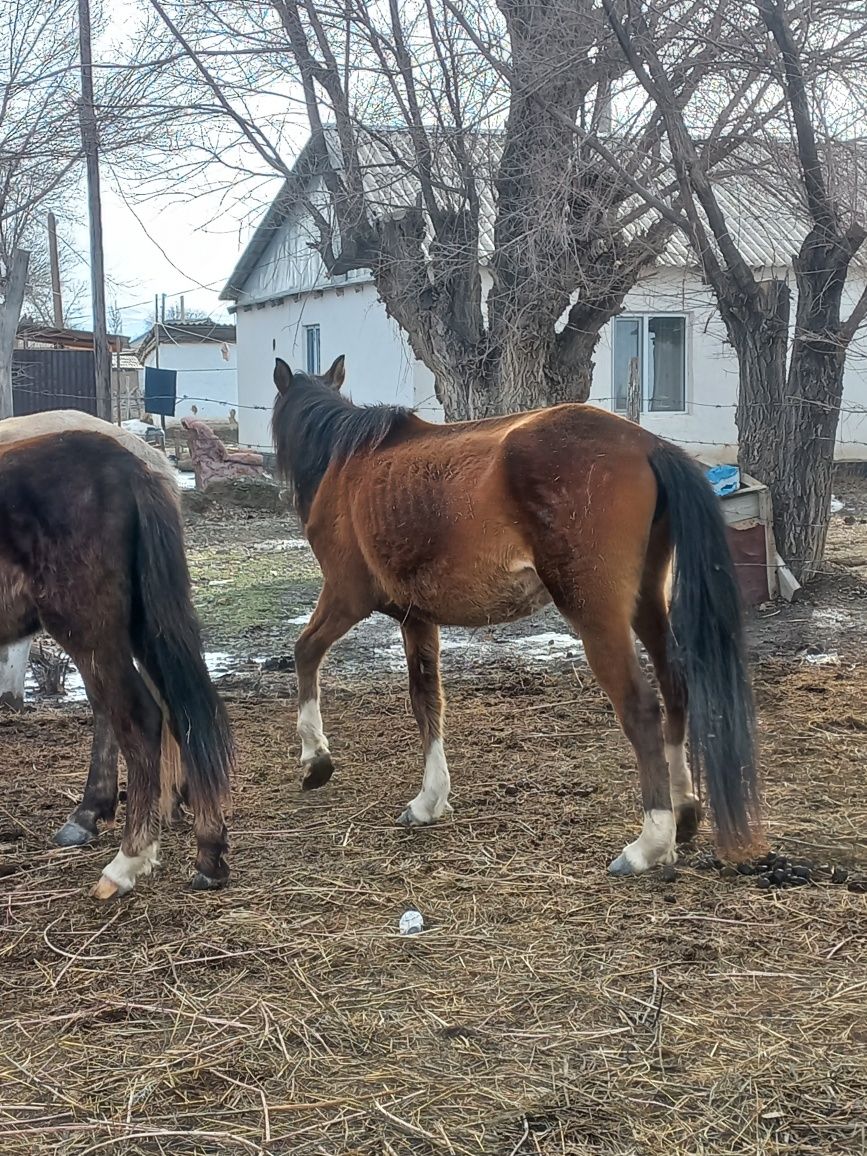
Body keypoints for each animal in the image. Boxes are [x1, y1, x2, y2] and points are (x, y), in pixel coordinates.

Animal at [0, 425, 234, 892]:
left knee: (140, 717)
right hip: (144, 629)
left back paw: (127, 860)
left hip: (90, 630)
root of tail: (131, 465)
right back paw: (208, 854)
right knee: (184, 717)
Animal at [271, 356, 758, 869]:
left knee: (642, 708)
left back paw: (650, 843)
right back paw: (684, 811)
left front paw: (315, 758)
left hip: (598, 618)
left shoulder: (345, 596)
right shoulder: (417, 618)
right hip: (647, 604)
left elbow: (306, 653)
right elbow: (427, 700)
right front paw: (429, 799)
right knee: (675, 688)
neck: (348, 463)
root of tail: (649, 445)